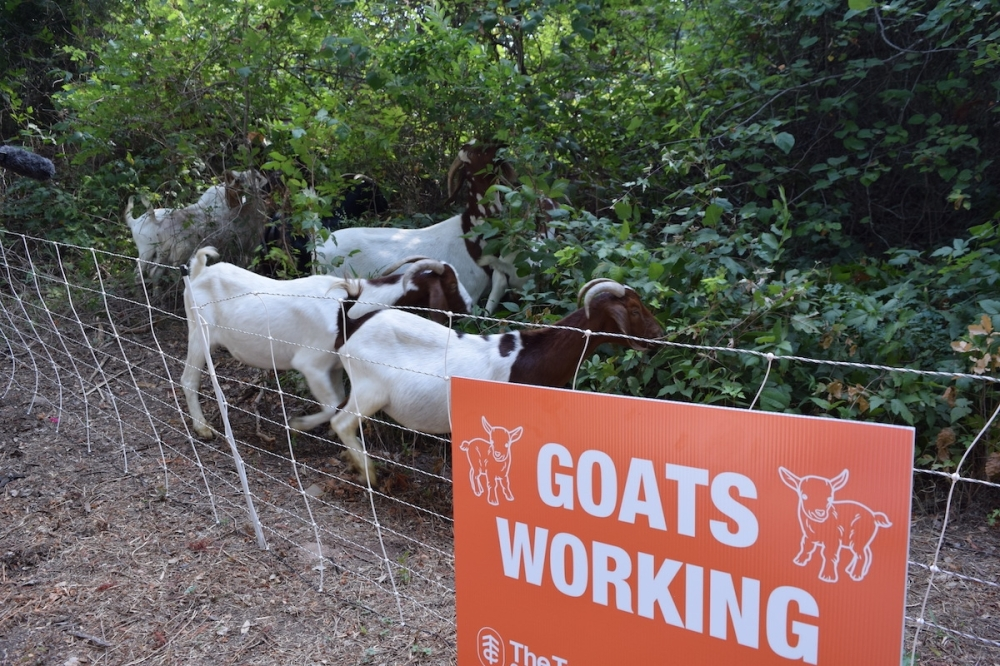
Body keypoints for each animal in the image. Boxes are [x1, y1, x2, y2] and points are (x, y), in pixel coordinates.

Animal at [125, 169, 274, 286]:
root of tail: (135, 221)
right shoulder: (247, 246)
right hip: (154, 251)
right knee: (143, 273)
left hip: (162, 252)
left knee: (154, 272)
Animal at [181, 246, 472, 438]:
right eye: (451, 284)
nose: (469, 307)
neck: (349, 308)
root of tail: (198, 272)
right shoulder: (311, 364)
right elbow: (332, 405)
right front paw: (299, 425)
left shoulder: (333, 366)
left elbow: (340, 401)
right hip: (199, 333)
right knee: (188, 379)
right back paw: (202, 427)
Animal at [328, 278, 664, 480]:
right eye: (634, 310)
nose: (659, 336)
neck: (528, 357)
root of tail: (351, 324)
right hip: (370, 389)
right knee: (341, 421)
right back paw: (369, 472)